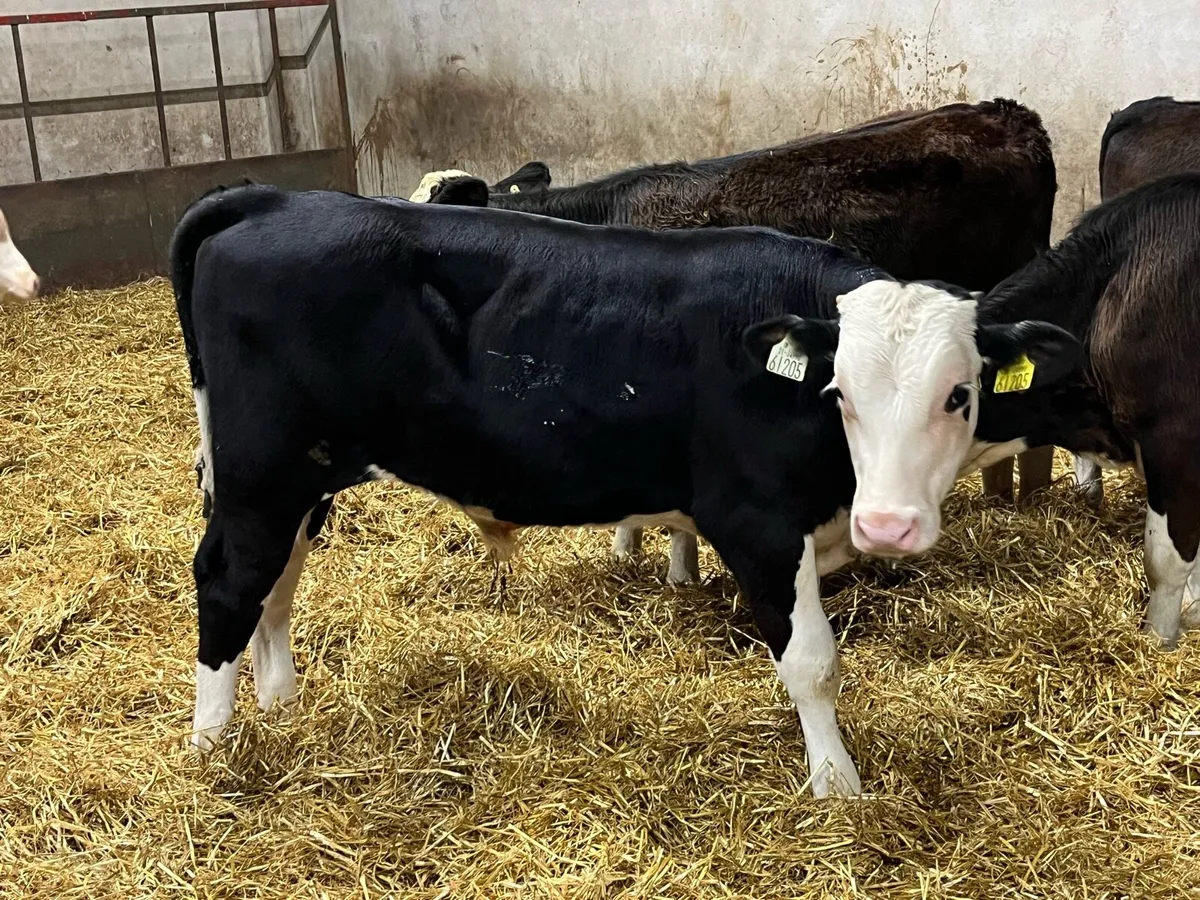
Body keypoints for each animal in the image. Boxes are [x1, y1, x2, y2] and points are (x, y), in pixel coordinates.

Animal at [171, 184, 1079, 797]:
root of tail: (278, 198)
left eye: (958, 394)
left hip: (303, 475)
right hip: (262, 468)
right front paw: (837, 783)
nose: (888, 525)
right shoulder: (756, 522)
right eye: (841, 393)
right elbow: (814, 664)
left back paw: (280, 699)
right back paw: (213, 744)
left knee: (279, 580)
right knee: (229, 579)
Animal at [786, 173, 1200, 648]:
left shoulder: (1175, 442)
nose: (884, 526)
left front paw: (1159, 640)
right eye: (840, 394)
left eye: (958, 395)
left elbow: (1164, 562)